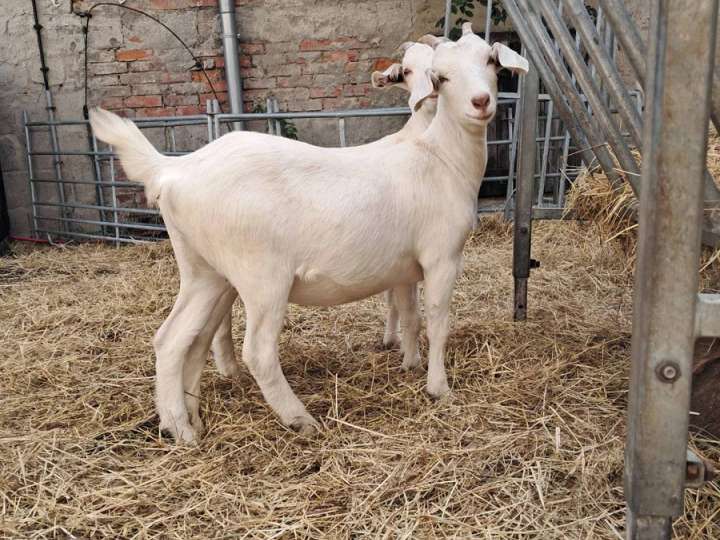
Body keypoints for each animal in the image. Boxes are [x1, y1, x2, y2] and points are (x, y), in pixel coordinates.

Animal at [89, 25, 528, 442]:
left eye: (491, 61)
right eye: (442, 77)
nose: (481, 102)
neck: (440, 158)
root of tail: (174, 170)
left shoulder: (405, 268)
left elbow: (409, 315)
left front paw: (410, 363)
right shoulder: (442, 255)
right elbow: (437, 318)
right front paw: (439, 388)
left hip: (205, 270)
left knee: (175, 340)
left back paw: (183, 426)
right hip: (260, 274)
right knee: (257, 351)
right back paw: (298, 419)